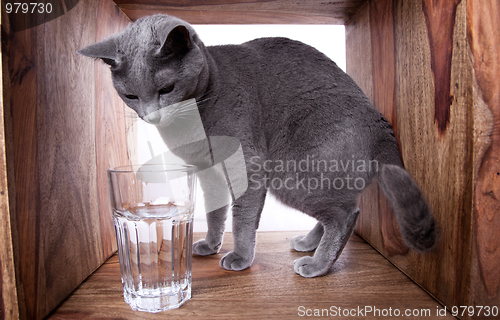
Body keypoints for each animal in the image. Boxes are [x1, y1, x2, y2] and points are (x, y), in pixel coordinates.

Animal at [77, 14, 434, 278]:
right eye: (130, 96)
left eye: (167, 88)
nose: (152, 116)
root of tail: (380, 122)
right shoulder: (207, 172)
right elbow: (216, 212)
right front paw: (210, 244)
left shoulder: (247, 165)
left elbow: (242, 217)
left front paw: (239, 257)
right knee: (335, 209)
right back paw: (308, 244)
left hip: (292, 172)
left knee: (346, 214)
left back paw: (317, 265)